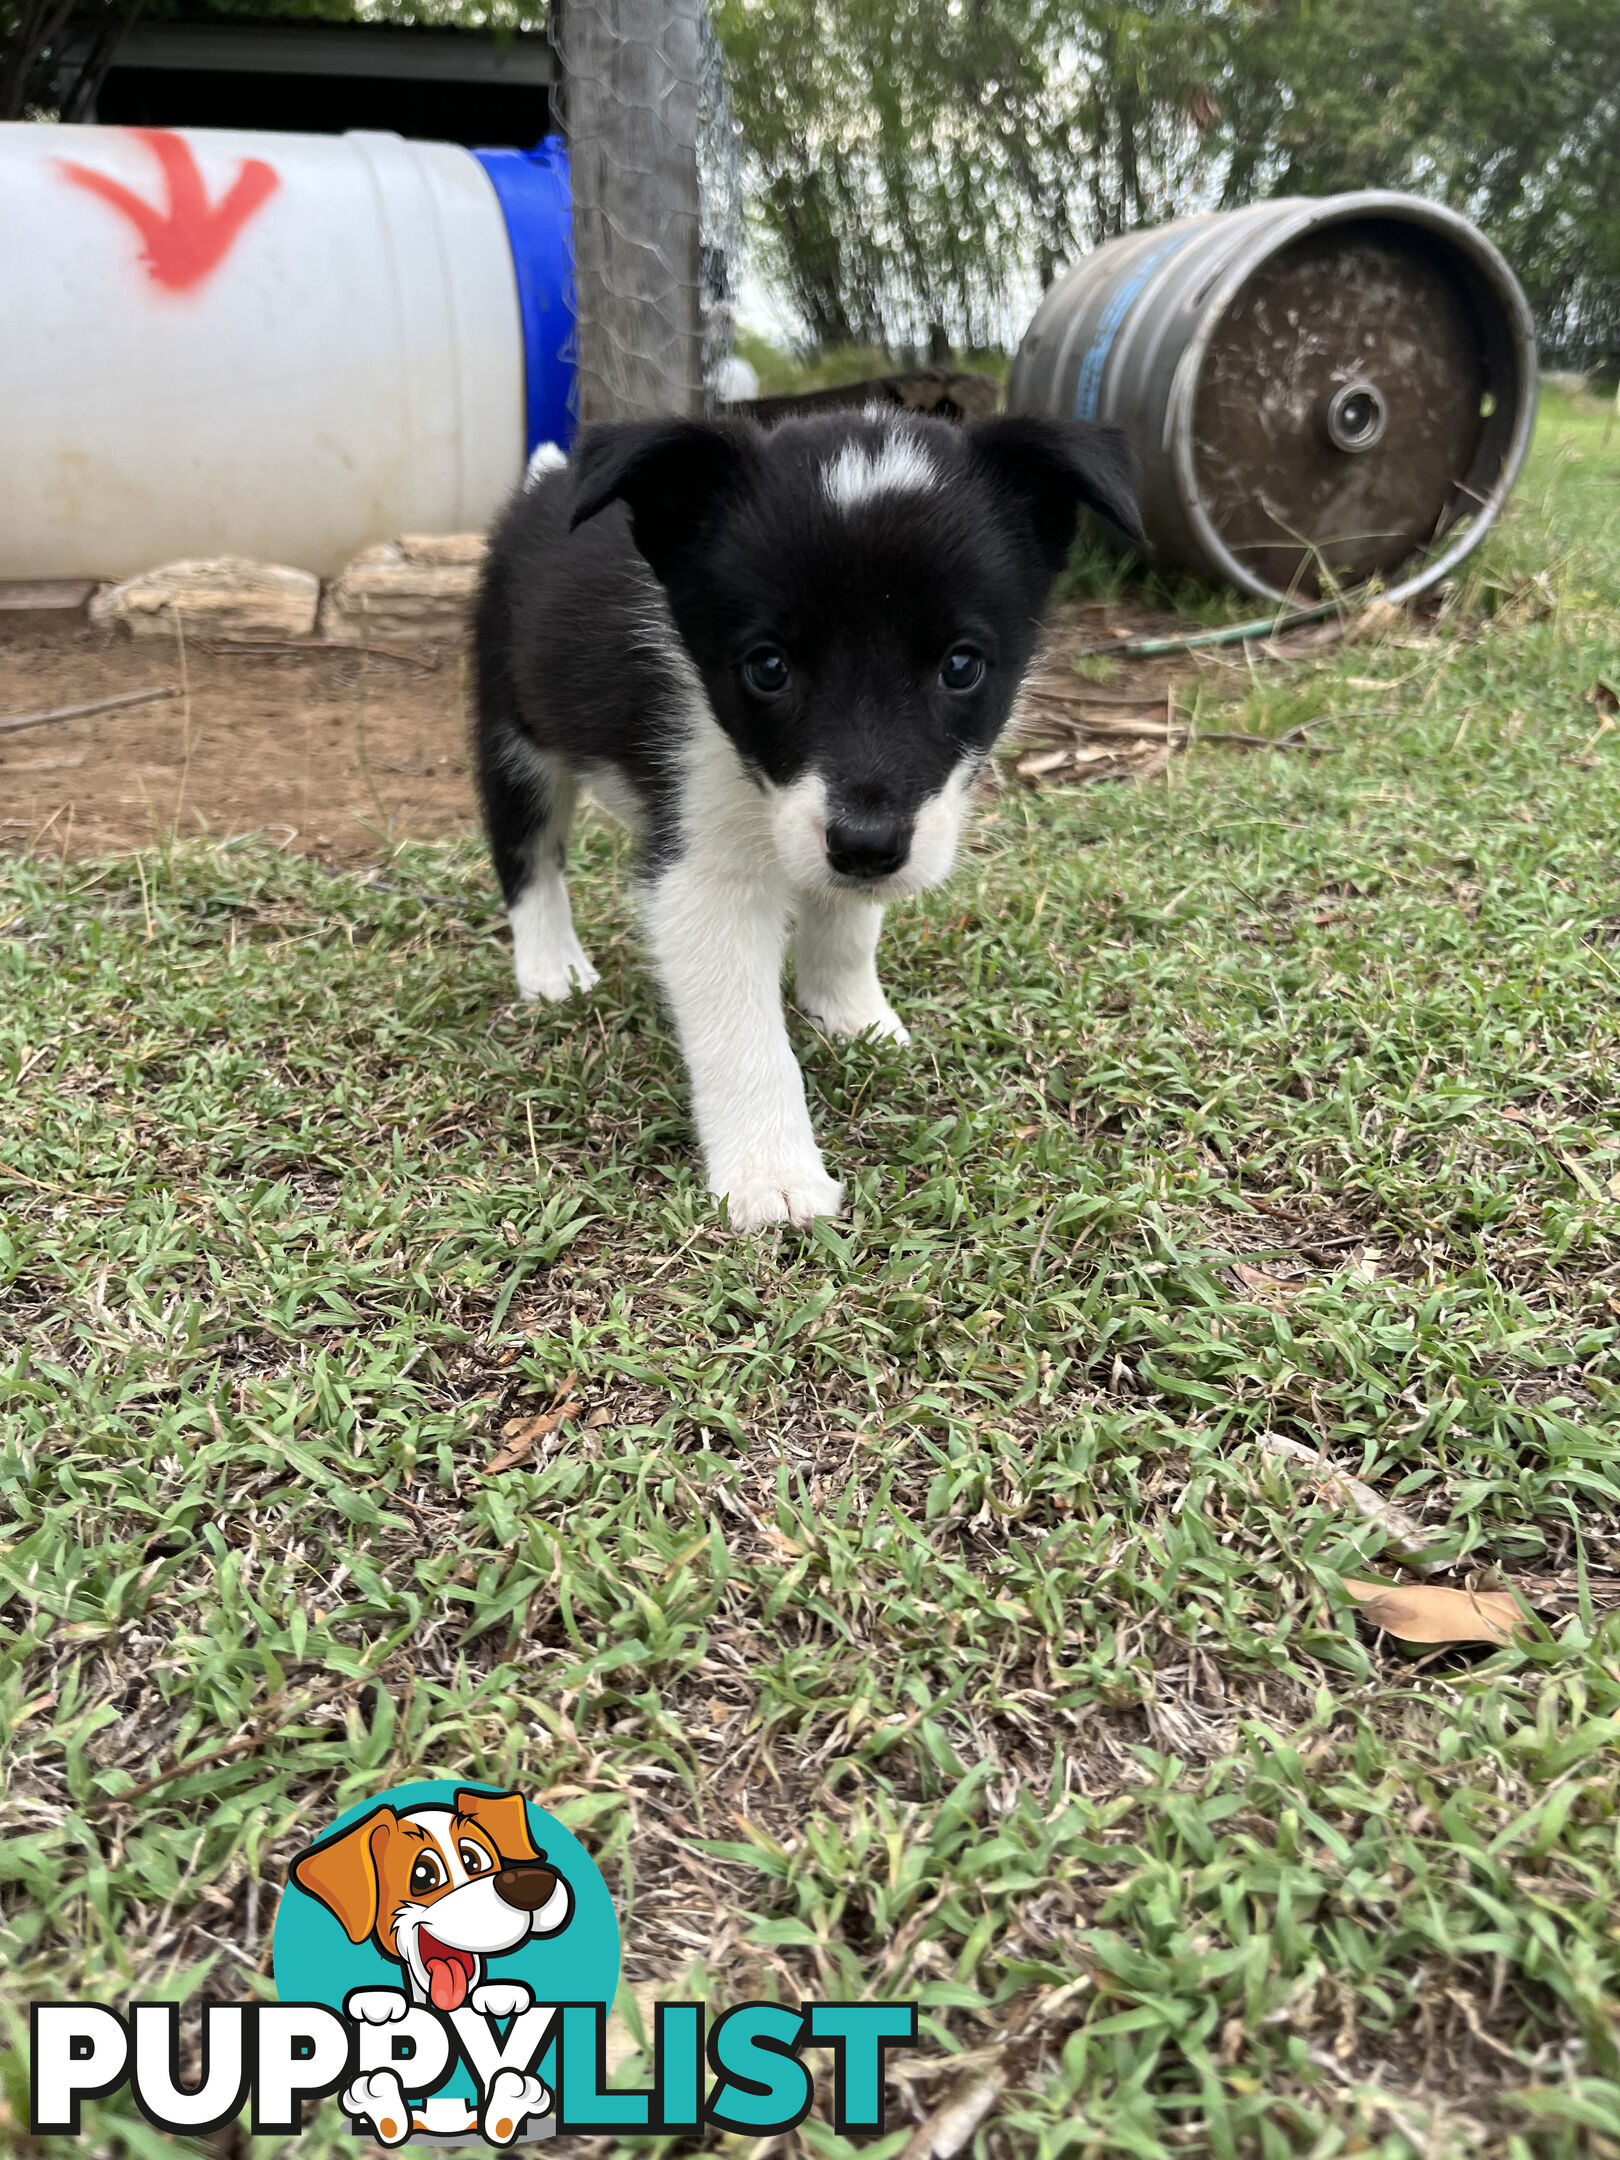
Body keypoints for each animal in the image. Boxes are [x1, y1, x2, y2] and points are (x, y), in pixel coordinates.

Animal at [475, 406, 1140, 1235]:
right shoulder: (703, 870)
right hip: (511, 730)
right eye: (768, 667)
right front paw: (774, 1176)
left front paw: (852, 1017)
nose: (867, 846)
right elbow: (743, 1033)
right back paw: (552, 969)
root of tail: (544, 483)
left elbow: (849, 928)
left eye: (961, 666)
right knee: (525, 852)